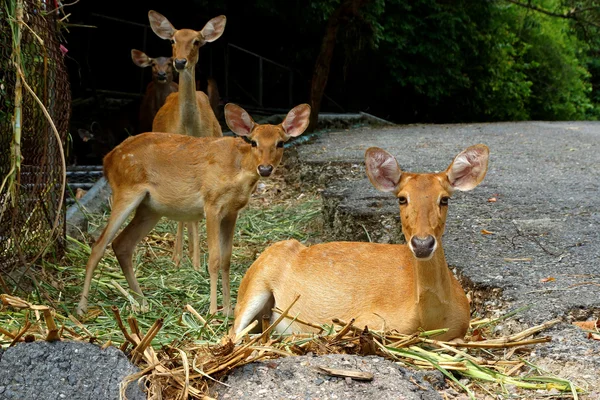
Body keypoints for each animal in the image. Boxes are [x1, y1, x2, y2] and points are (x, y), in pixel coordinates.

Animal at [75, 101, 312, 318]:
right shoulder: (211, 204)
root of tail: (107, 159)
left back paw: (143, 303)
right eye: (253, 142)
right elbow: (214, 259)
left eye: (280, 143)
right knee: (99, 245)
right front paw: (213, 311)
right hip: (126, 191)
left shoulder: (232, 212)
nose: (264, 168)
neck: (238, 171)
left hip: (150, 208)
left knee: (122, 244)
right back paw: (82, 308)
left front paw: (228, 310)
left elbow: (226, 260)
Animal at [227, 144, 490, 340]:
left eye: (444, 199)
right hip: (255, 284)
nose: (423, 243)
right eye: (402, 198)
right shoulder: (368, 320)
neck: (429, 319)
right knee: (232, 334)